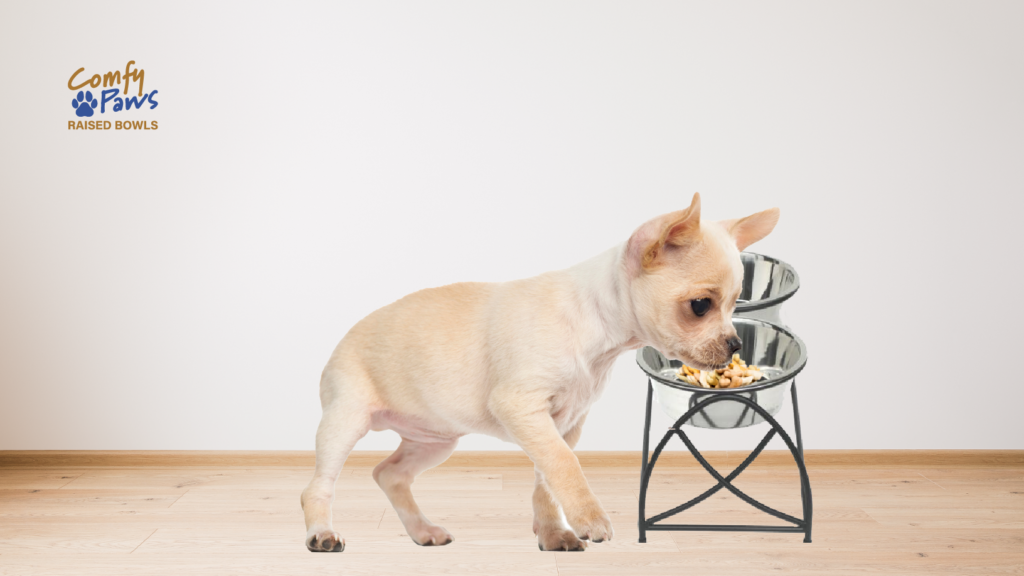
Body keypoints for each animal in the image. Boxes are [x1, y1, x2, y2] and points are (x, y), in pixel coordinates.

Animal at [299, 193, 778, 553]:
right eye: (700, 306)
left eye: (735, 304)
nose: (736, 345)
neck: (598, 328)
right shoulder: (524, 409)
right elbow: (564, 465)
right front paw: (589, 516)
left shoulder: (564, 424)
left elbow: (547, 478)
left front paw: (553, 532)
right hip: (346, 421)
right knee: (318, 486)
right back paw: (322, 533)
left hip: (434, 439)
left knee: (390, 474)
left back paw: (421, 530)